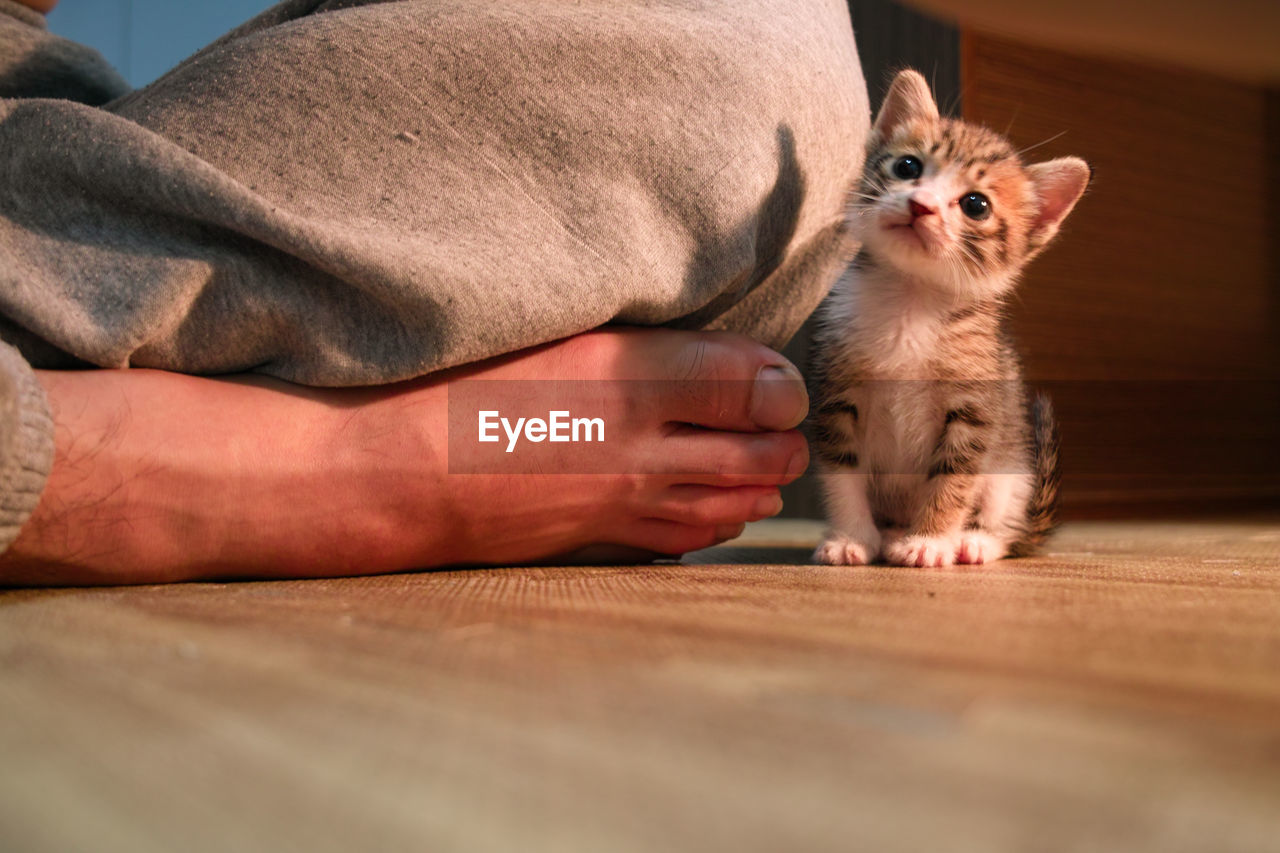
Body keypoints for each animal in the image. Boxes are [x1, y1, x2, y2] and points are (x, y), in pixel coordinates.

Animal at [808, 71, 1090, 563]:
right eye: (907, 167)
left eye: (976, 204)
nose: (921, 205)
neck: (911, 300)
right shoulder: (836, 390)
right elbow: (842, 471)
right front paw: (850, 537)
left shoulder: (975, 408)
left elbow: (954, 477)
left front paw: (931, 541)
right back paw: (889, 534)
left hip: (1015, 463)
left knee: (1008, 526)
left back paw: (975, 541)